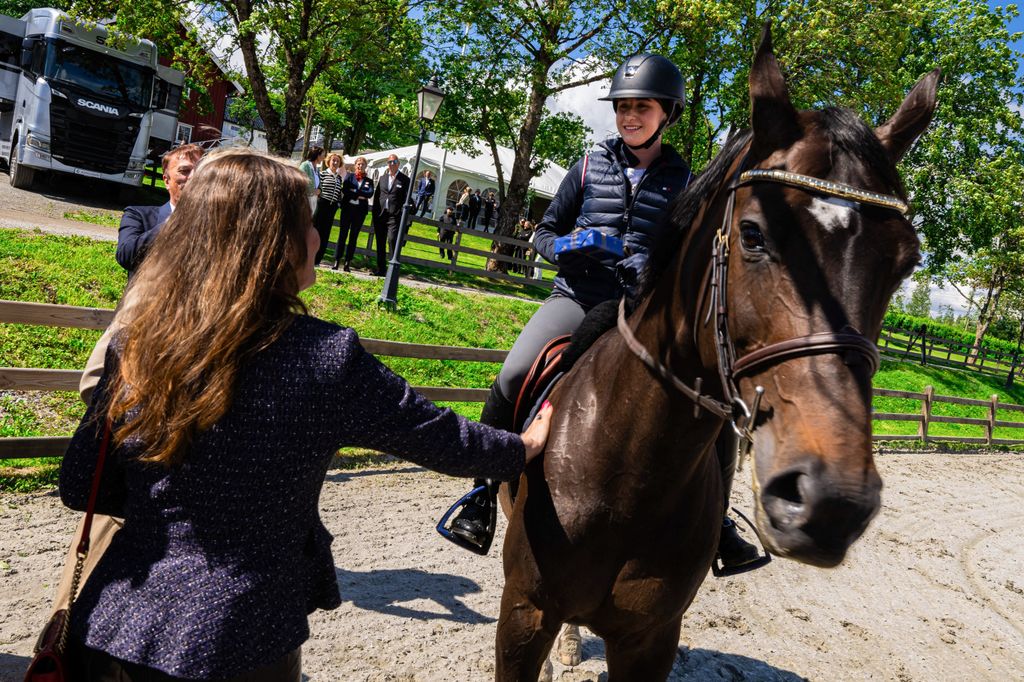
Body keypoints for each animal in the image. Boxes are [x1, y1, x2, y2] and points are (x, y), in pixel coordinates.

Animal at [493, 26, 937, 679]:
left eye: (905, 262)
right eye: (753, 234)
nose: (833, 503)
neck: (630, 470)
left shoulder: (652, 638)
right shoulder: (524, 612)